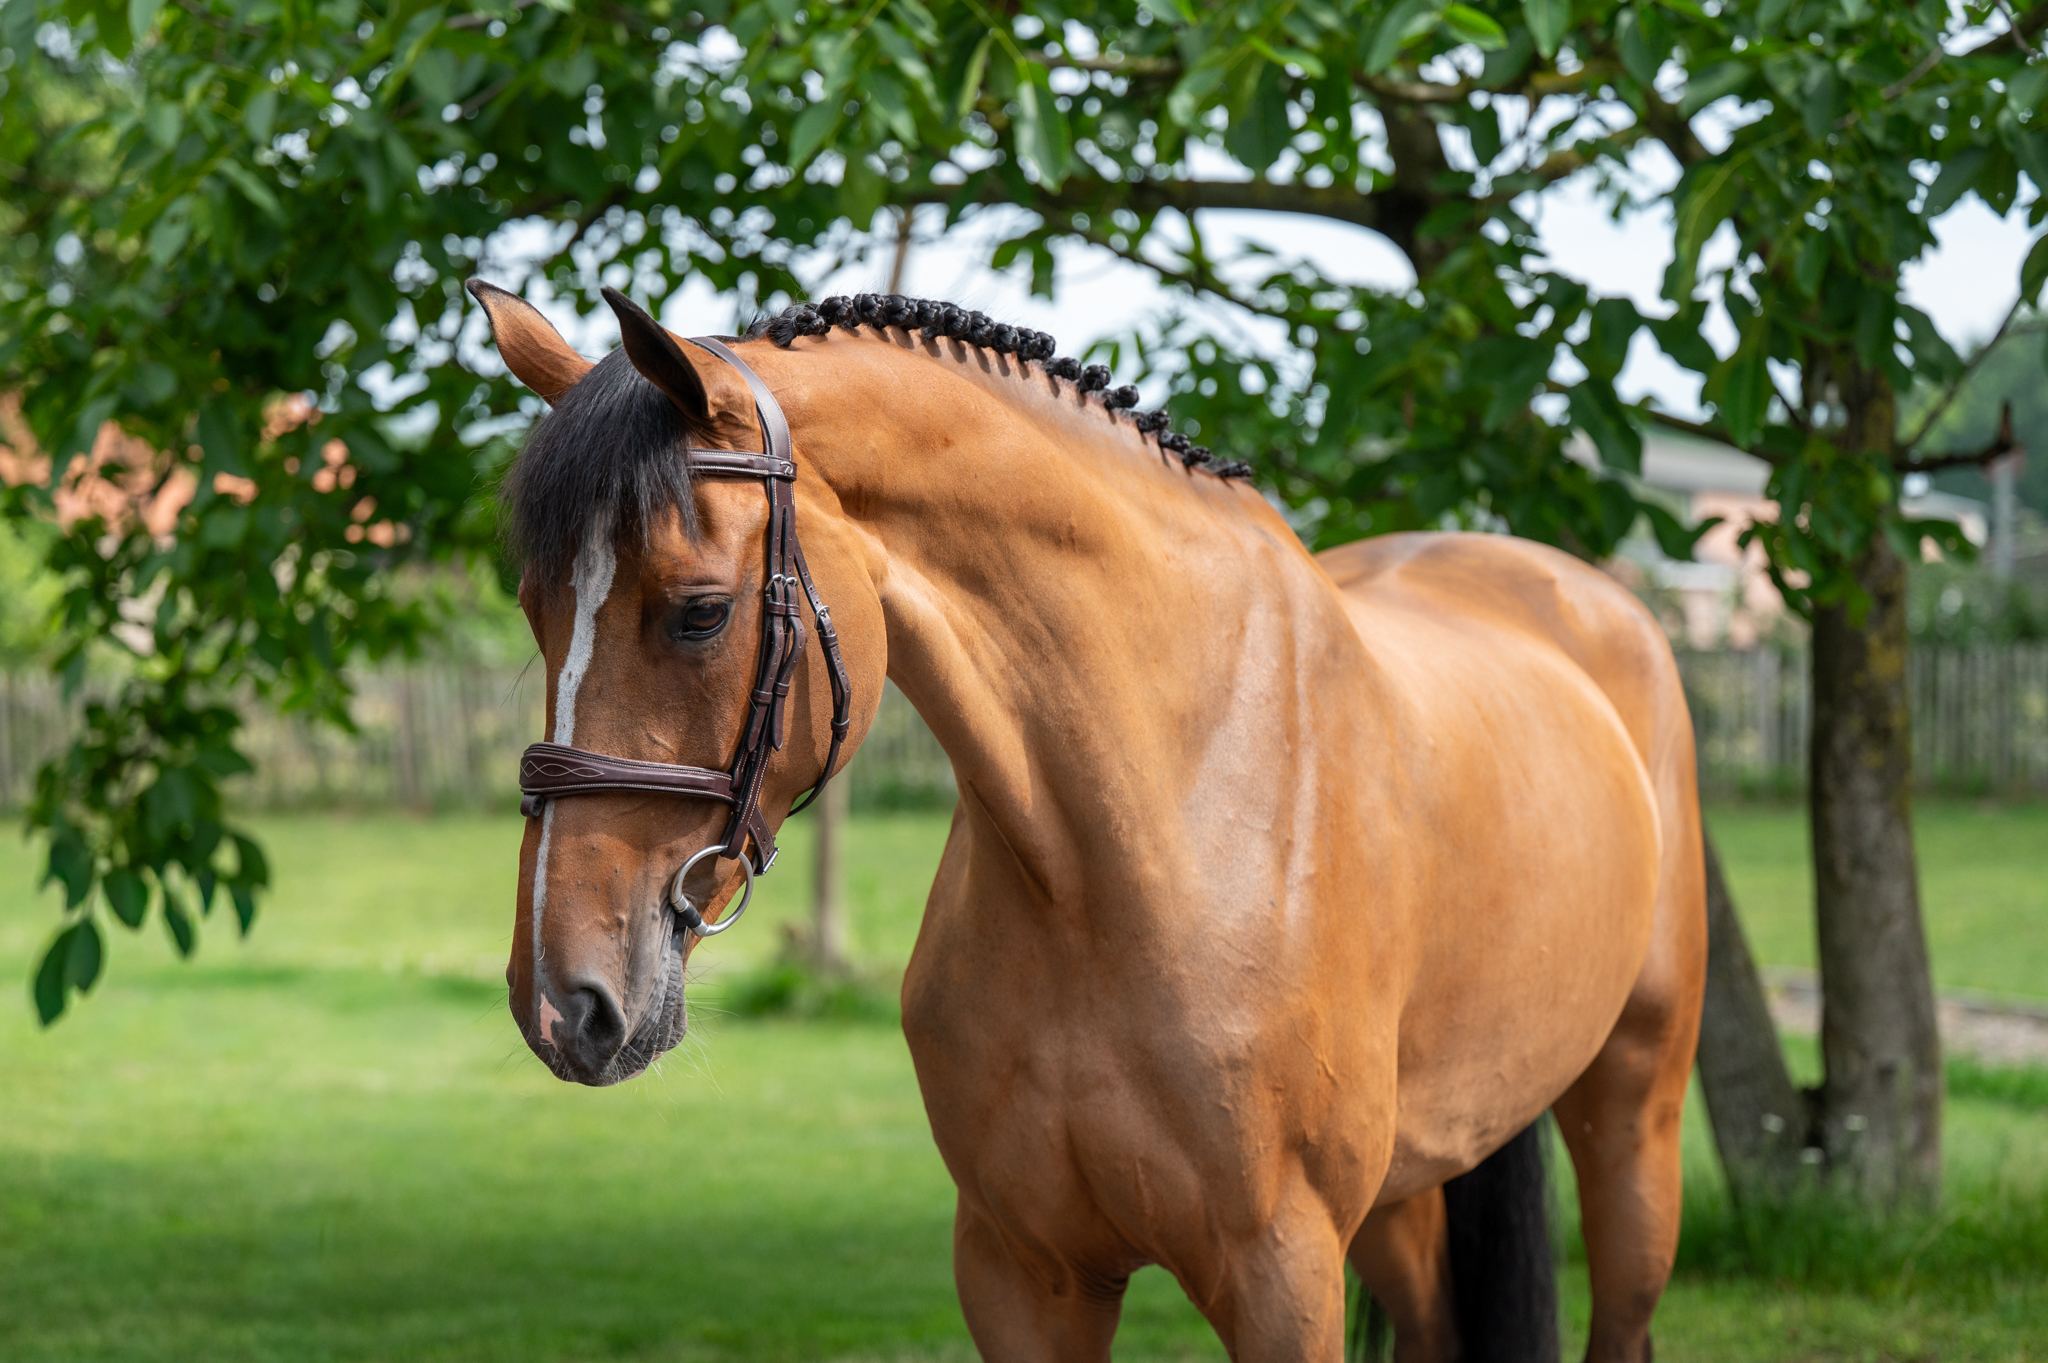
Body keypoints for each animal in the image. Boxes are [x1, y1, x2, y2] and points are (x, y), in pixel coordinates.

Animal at [466, 279, 1706, 1363]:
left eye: (699, 612)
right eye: (534, 606)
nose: (564, 1002)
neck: (1127, 851)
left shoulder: (1280, 1273)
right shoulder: (1023, 1271)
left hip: (1630, 1119)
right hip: (1404, 1198)